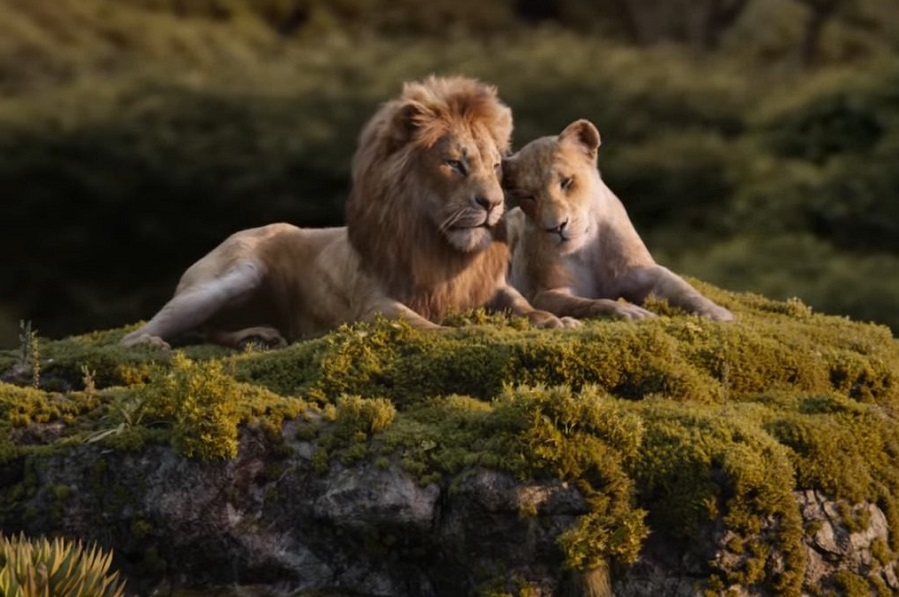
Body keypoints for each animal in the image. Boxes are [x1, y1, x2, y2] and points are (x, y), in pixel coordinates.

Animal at [121, 76, 573, 350]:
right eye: (454, 164)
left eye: (496, 165)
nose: (492, 204)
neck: (439, 245)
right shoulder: (371, 305)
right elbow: (420, 323)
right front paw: (455, 333)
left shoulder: (491, 288)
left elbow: (525, 306)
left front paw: (556, 321)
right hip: (235, 273)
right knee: (149, 331)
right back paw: (151, 343)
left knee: (210, 329)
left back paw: (258, 335)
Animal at [502, 118, 734, 322]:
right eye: (528, 197)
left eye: (566, 182)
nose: (556, 227)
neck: (585, 250)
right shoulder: (544, 293)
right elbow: (588, 303)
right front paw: (630, 311)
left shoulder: (641, 271)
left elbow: (681, 287)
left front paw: (718, 313)